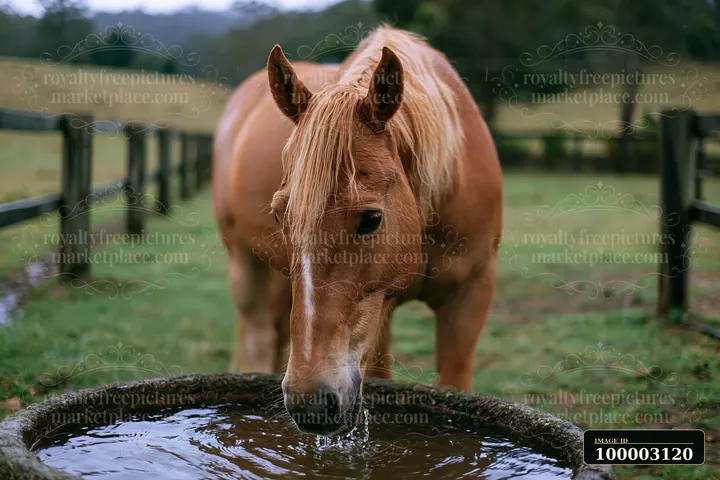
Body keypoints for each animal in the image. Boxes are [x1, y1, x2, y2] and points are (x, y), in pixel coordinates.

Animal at [212, 25, 503, 435]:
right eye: (279, 215)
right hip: (244, 263)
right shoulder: (381, 307)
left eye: (371, 219)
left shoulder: (471, 295)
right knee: (259, 339)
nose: (309, 402)